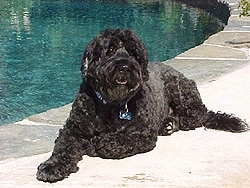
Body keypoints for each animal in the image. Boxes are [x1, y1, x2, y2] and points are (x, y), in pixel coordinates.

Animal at [36, 28, 249, 183]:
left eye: (133, 53)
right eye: (109, 50)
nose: (124, 67)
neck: (111, 105)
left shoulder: (142, 134)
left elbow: (113, 141)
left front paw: (98, 142)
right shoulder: (73, 129)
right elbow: (63, 147)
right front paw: (52, 166)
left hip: (180, 90)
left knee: (197, 116)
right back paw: (168, 124)